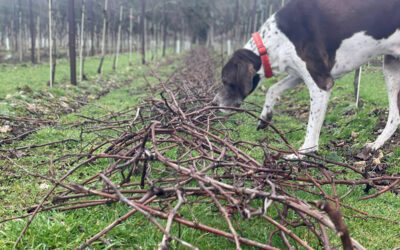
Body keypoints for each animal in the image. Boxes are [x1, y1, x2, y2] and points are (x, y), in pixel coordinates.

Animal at [216, 0, 400, 157]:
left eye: (226, 81)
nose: (214, 102)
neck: (274, 40)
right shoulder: (298, 73)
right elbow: (272, 89)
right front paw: (265, 118)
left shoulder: (321, 84)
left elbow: (311, 128)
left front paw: (302, 153)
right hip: (390, 68)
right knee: (395, 116)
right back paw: (376, 144)